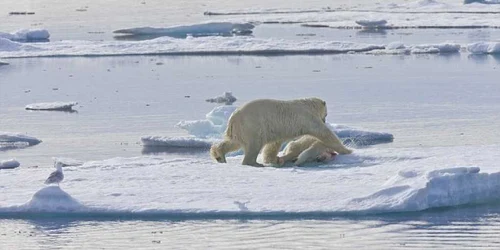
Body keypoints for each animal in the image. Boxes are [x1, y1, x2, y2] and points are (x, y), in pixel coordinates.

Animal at [209, 97, 354, 166]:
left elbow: (274, 144)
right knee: (253, 145)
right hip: (253, 126)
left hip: (241, 129)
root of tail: (233, 118)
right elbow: (324, 133)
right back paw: (254, 163)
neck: (308, 105)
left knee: (233, 143)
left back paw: (219, 156)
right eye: (326, 114)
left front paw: (273, 159)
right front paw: (348, 150)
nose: (324, 120)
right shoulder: (306, 117)